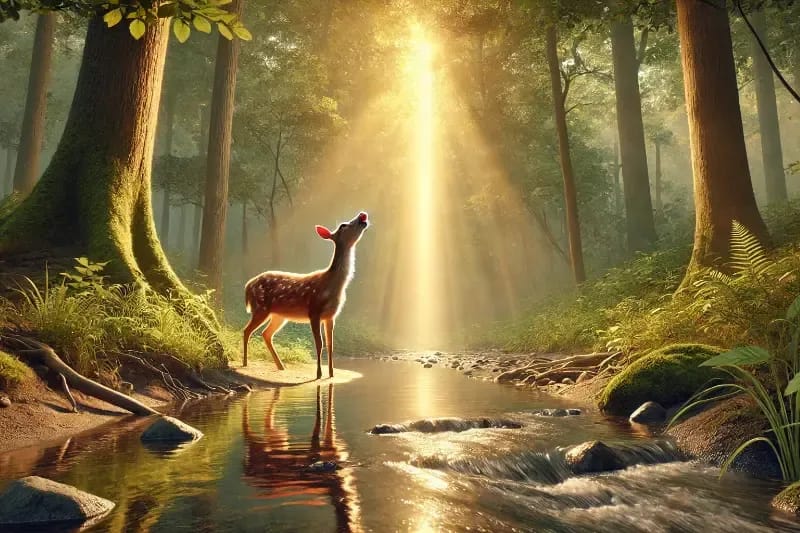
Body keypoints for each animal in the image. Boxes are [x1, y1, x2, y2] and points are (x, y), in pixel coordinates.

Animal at [243, 211, 369, 379]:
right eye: (343, 225)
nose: (362, 215)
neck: (333, 286)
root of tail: (248, 285)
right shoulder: (314, 310)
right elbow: (319, 343)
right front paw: (319, 374)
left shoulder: (331, 315)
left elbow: (330, 344)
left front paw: (331, 373)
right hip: (260, 307)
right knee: (247, 330)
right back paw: (245, 363)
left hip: (279, 315)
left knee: (266, 334)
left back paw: (281, 366)